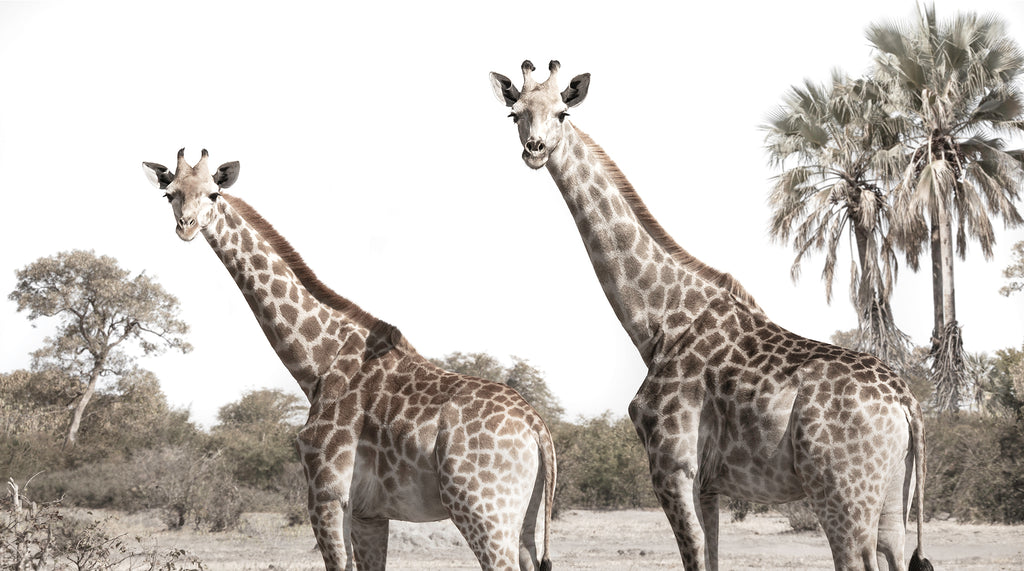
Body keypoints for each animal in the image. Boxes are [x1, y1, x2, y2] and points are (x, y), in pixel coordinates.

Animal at [141, 149, 556, 571]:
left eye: (213, 194)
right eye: (170, 194)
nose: (186, 227)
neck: (317, 365)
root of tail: (538, 429)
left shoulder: (326, 493)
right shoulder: (369, 512)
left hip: (483, 511)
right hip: (527, 519)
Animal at [489, 61, 934, 571]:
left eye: (562, 112)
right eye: (515, 113)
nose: (535, 149)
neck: (659, 324)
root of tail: (907, 403)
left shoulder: (672, 465)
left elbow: (695, 555)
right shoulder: (708, 482)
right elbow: (714, 554)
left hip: (842, 494)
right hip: (894, 495)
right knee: (895, 547)